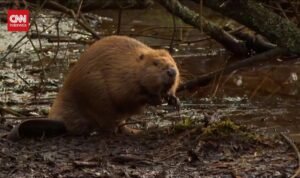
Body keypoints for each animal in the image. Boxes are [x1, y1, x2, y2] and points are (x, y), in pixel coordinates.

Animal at [7, 35, 179, 140]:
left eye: (173, 61)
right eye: (155, 63)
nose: (172, 71)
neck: (130, 64)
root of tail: (61, 121)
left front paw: (173, 99)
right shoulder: (120, 77)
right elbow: (126, 96)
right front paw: (155, 99)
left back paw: (134, 131)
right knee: (106, 124)